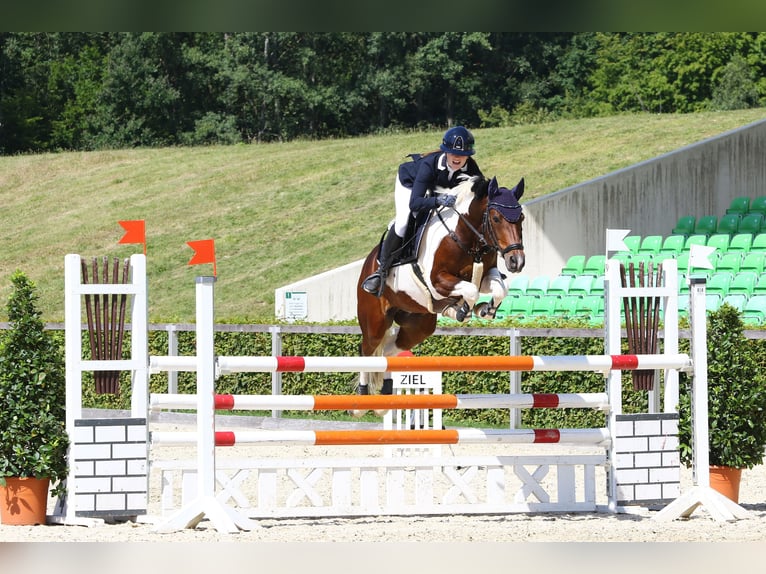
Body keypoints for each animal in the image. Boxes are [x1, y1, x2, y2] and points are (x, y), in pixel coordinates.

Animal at [356, 176, 524, 414]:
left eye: (521, 217)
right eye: (496, 218)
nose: (516, 261)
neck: (465, 237)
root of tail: (369, 263)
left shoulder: (486, 275)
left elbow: (499, 289)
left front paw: (484, 310)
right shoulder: (437, 281)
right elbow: (470, 290)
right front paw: (461, 310)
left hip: (419, 325)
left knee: (388, 351)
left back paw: (385, 397)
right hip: (375, 322)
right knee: (367, 350)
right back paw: (361, 402)